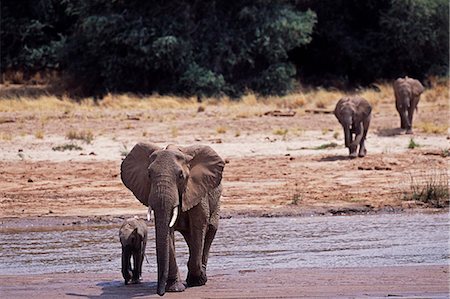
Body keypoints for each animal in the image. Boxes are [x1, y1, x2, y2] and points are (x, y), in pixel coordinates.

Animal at [120, 144, 224, 298]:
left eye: (181, 176)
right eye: (149, 175)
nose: (160, 293)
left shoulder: (197, 191)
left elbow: (199, 227)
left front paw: (197, 280)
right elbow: (167, 232)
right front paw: (174, 288)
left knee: (210, 230)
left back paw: (200, 276)